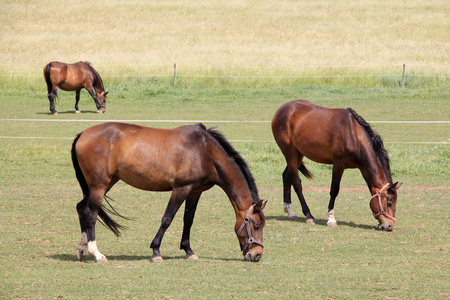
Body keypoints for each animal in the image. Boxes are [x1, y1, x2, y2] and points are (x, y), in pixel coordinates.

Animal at [71, 122, 266, 262]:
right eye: (256, 225)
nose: (257, 255)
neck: (205, 151)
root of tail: (83, 134)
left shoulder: (195, 192)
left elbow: (188, 220)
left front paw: (188, 250)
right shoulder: (180, 189)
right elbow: (167, 219)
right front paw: (156, 251)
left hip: (105, 183)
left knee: (81, 208)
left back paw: (82, 248)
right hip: (99, 186)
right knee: (90, 214)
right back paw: (97, 254)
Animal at [272, 99, 402, 231]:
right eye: (389, 202)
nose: (389, 226)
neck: (353, 134)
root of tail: (282, 109)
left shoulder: (363, 167)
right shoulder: (339, 163)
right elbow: (334, 189)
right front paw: (331, 219)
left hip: (298, 154)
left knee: (286, 177)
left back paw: (290, 212)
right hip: (290, 152)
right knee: (297, 183)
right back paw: (308, 215)